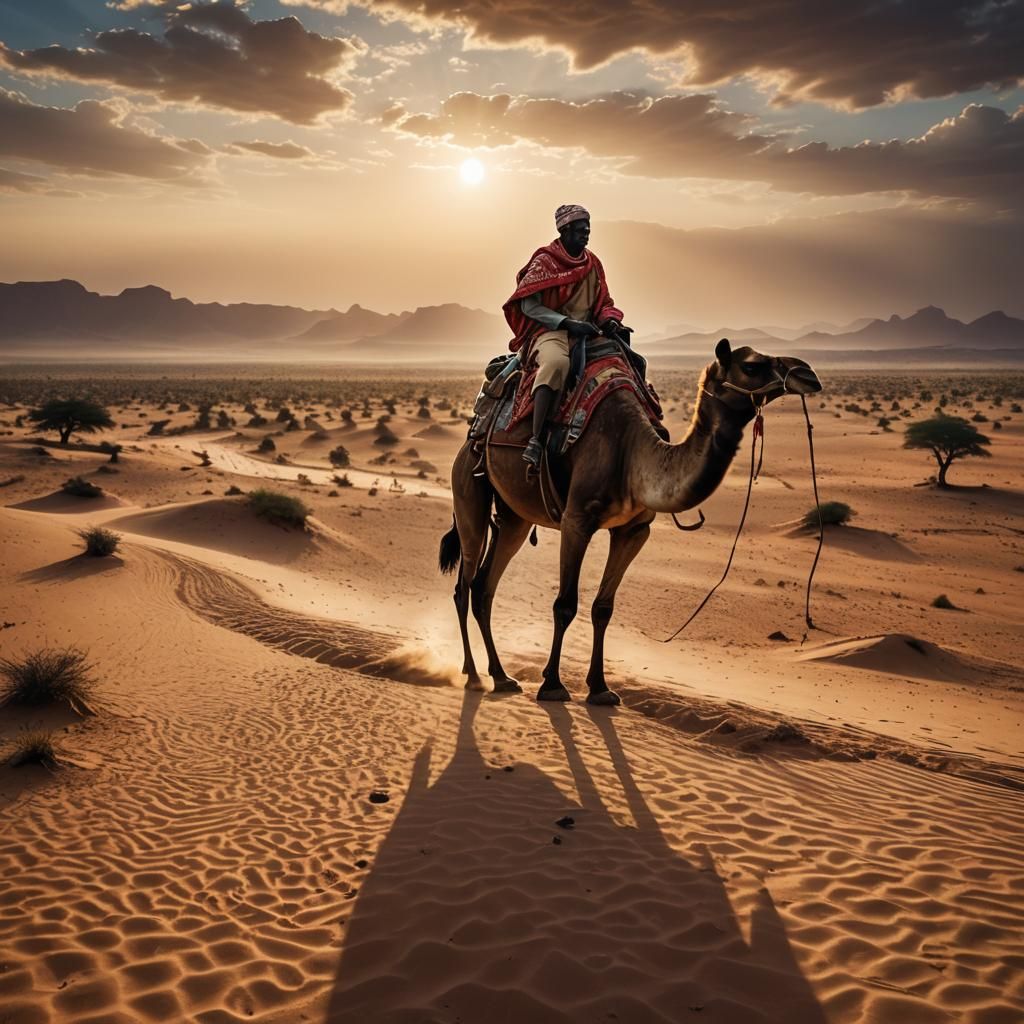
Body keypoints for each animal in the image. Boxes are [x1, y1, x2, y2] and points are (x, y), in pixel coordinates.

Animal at [439, 339, 822, 705]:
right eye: (752, 366)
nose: (808, 375)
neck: (630, 453)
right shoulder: (577, 521)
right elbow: (565, 604)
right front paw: (552, 684)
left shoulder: (634, 530)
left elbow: (603, 608)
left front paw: (600, 689)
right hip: (469, 489)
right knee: (464, 585)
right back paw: (473, 676)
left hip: (514, 516)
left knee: (484, 586)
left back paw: (501, 676)